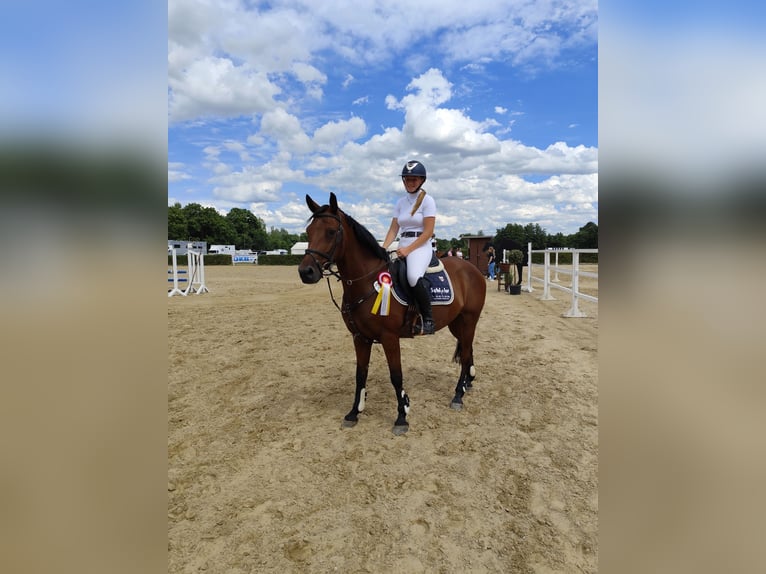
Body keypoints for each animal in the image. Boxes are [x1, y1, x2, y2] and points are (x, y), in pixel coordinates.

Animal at [298, 194, 486, 436]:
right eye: (309, 231)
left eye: (331, 231)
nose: (306, 272)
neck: (367, 282)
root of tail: (472, 269)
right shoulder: (359, 338)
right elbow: (360, 374)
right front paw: (354, 412)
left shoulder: (389, 337)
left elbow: (396, 376)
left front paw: (402, 416)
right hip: (456, 323)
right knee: (466, 349)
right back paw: (467, 383)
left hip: (470, 319)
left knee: (465, 351)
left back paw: (458, 395)